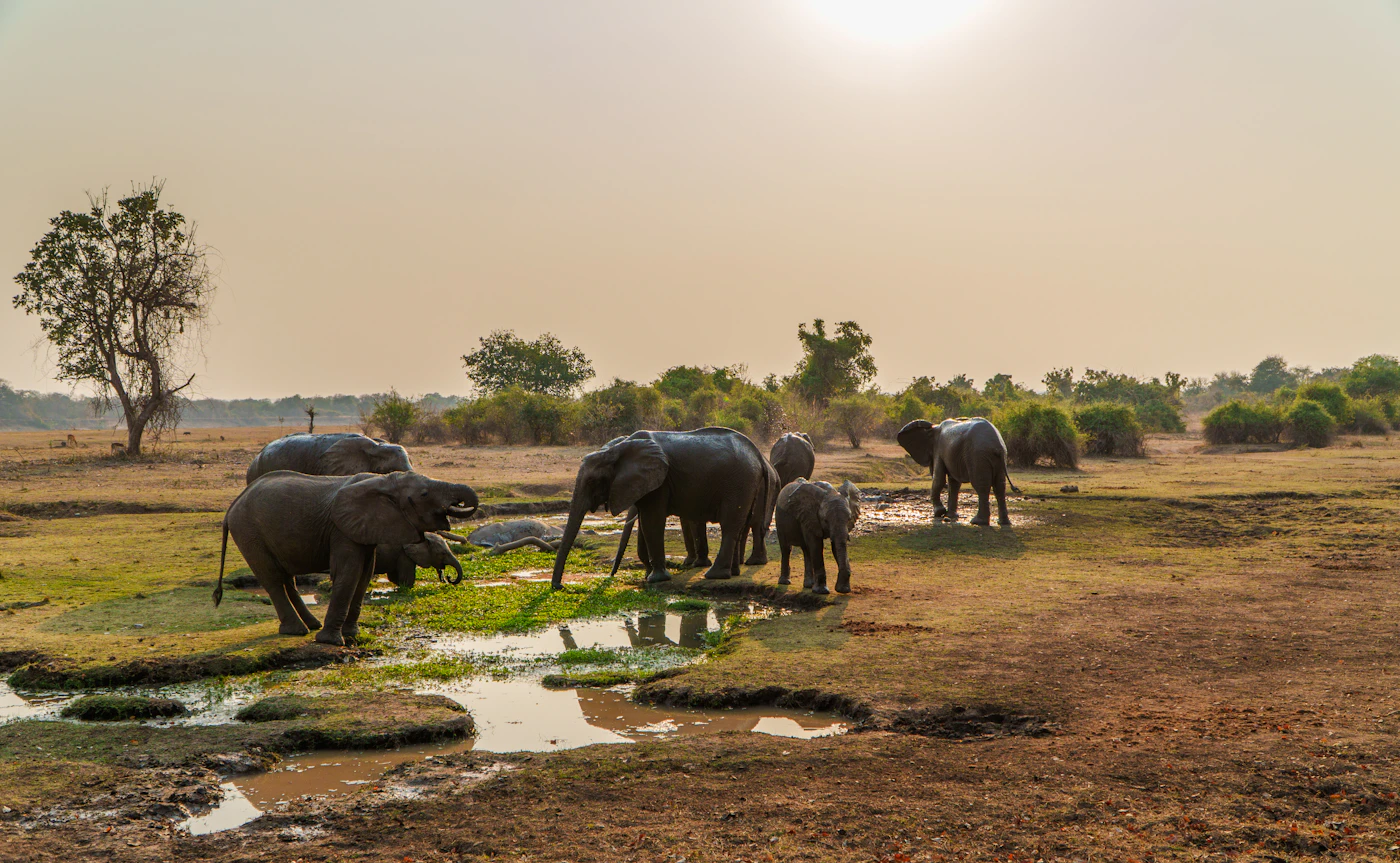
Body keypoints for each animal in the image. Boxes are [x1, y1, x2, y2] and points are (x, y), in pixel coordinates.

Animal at [215, 470, 478, 645]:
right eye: (424, 494)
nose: (448, 578)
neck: (384, 481)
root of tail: (232, 507)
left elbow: (364, 575)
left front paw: (352, 635)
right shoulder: (341, 529)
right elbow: (349, 573)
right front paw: (331, 641)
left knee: (286, 578)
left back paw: (311, 625)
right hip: (249, 533)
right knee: (272, 579)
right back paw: (298, 631)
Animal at [553, 427, 766, 587]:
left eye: (591, 481)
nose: (560, 586)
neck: (616, 449)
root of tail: (757, 455)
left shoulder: (659, 482)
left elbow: (652, 521)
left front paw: (655, 579)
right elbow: (645, 523)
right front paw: (649, 575)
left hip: (738, 483)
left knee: (730, 525)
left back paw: (714, 575)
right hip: (746, 484)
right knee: (740, 524)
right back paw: (733, 572)